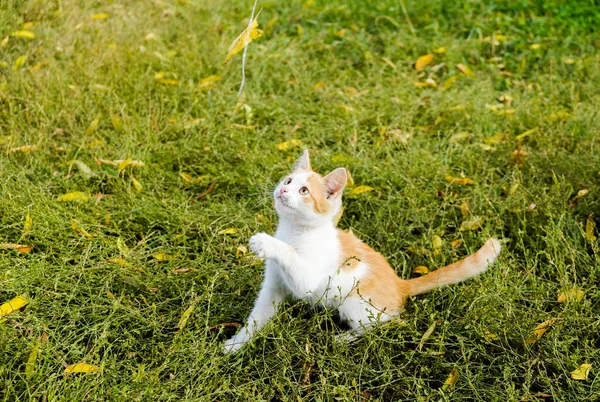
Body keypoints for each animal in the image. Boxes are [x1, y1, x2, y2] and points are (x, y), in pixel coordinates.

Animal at [223, 150, 500, 352]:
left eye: (303, 191)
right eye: (288, 181)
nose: (282, 190)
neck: (294, 231)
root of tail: (400, 284)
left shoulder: (310, 280)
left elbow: (294, 263)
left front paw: (266, 242)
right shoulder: (273, 285)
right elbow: (258, 315)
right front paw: (238, 343)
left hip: (353, 301)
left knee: (387, 320)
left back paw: (345, 338)